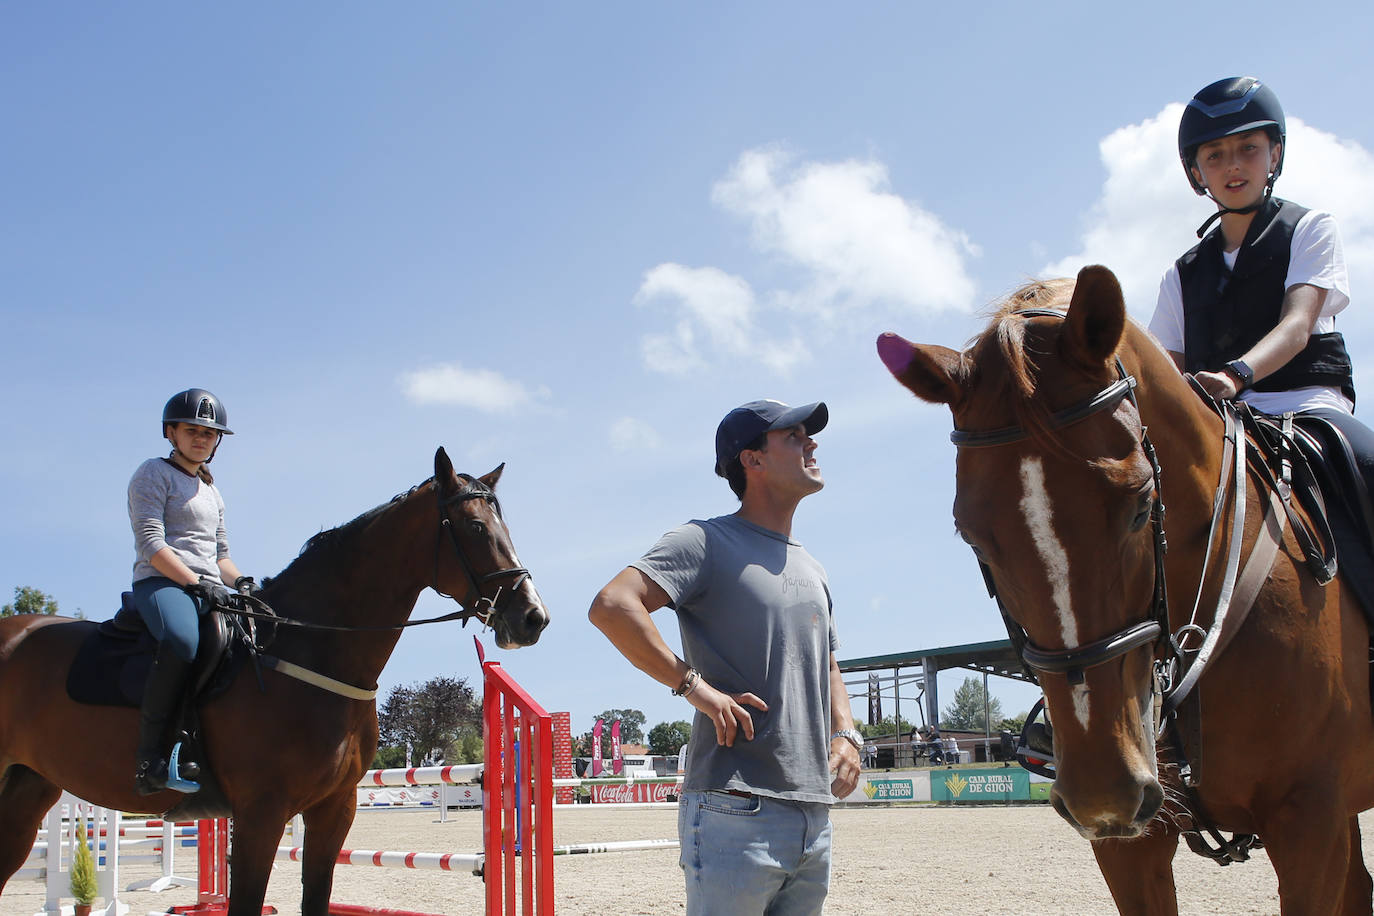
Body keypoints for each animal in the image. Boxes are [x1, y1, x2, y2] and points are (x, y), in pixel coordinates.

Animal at [0, 450, 544, 916]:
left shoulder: (334, 809)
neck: (309, 652)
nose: (532, 618)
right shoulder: (260, 814)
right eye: (476, 527)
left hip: (28, 790)